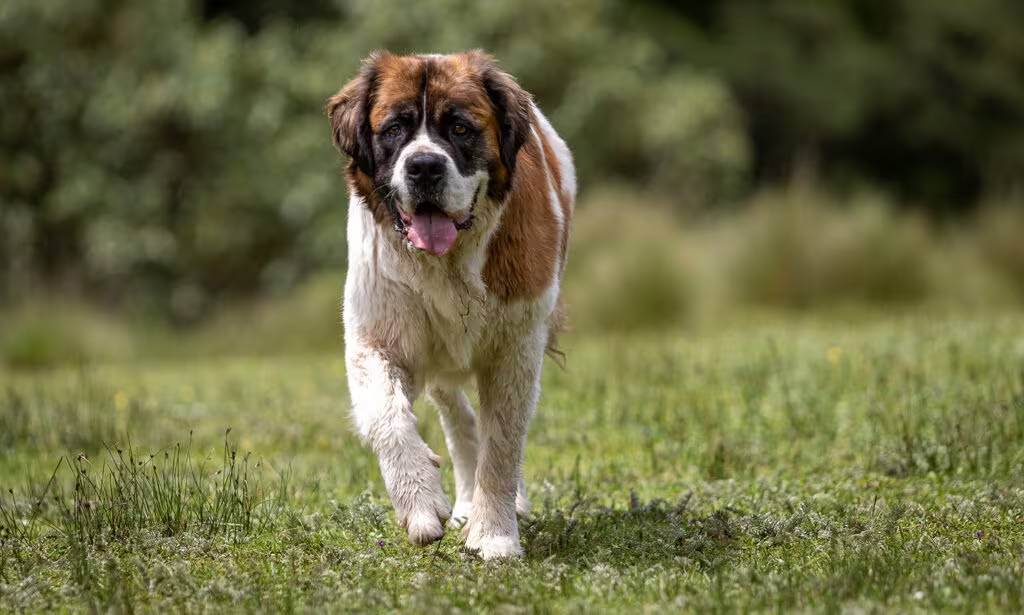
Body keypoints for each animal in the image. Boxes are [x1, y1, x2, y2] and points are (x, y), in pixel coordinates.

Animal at [323, 50, 573, 556]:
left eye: (459, 128)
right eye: (394, 129)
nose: (423, 166)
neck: (447, 264)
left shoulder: (517, 349)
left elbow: (503, 446)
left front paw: (495, 535)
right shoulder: (374, 340)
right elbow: (389, 417)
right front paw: (421, 503)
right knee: (458, 418)